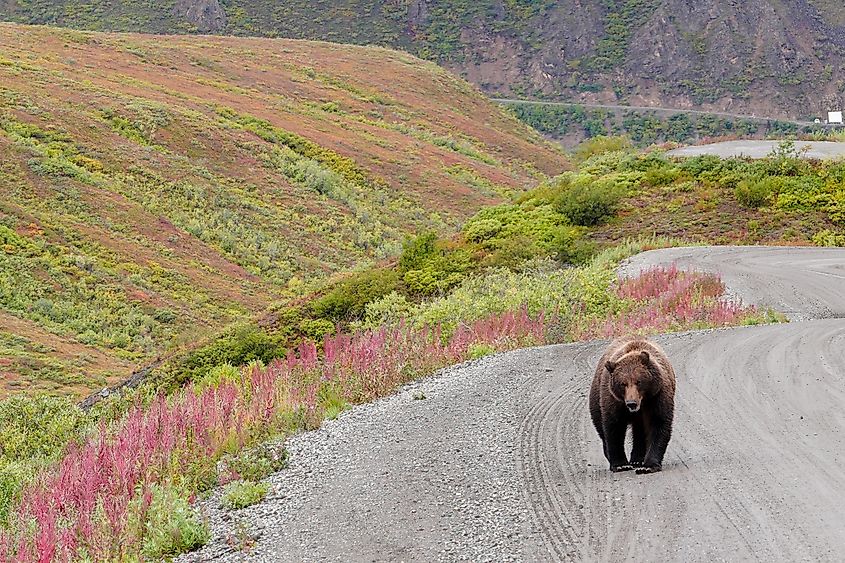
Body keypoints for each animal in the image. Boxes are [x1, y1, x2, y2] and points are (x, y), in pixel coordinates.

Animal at [589, 337, 676, 474]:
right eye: (623, 383)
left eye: (638, 381)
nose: (631, 403)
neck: (643, 402)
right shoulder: (614, 400)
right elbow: (614, 427)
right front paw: (621, 465)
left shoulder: (657, 396)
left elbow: (659, 423)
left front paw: (649, 465)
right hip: (596, 398)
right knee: (600, 426)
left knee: (639, 432)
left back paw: (637, 459)